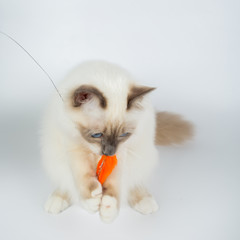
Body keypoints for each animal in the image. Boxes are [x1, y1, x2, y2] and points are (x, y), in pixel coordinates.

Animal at [40, 60, 191, 223]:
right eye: (97, 134)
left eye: (123, 134)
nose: (109, 152)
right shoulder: (73, 143)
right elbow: (82, 175)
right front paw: (91, 200)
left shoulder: (122, 152)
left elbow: (114, 183)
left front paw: (109, 207)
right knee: (65, 181)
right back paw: (57, 200)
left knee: (134, 182)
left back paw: (145, 201)